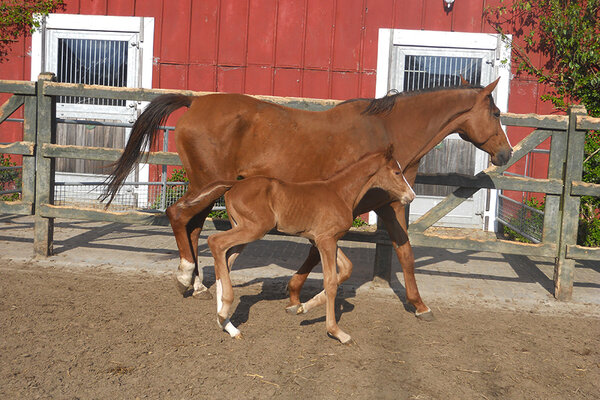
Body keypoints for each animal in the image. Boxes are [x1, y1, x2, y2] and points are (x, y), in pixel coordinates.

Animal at [199, 147, 414, 344]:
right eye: (397, 172)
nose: (411, 196)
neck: (340, 193)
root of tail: (234, 184)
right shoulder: (326, 241)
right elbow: (331, 283)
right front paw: (337, 332)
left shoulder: (324, 239)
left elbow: (346, 269)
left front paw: (302, 307)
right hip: (254, 229)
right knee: (215, 242)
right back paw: (224, 311)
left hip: (244, 232)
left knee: (225, 260)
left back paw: (227, 324)